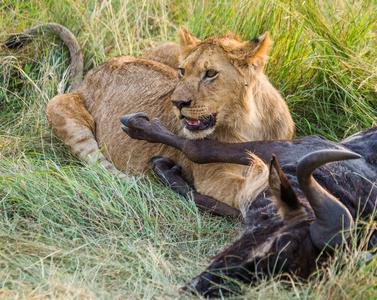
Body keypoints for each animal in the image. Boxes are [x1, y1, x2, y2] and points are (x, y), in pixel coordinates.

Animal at [5, 22, 294, 209]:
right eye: (182, 72)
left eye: (210, 73)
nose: (177, 102)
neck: (249, 121)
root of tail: (90, 75)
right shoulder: (211, 180)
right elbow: (249, 191)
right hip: (57, 105)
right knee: (101, 167)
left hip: (166, 45)